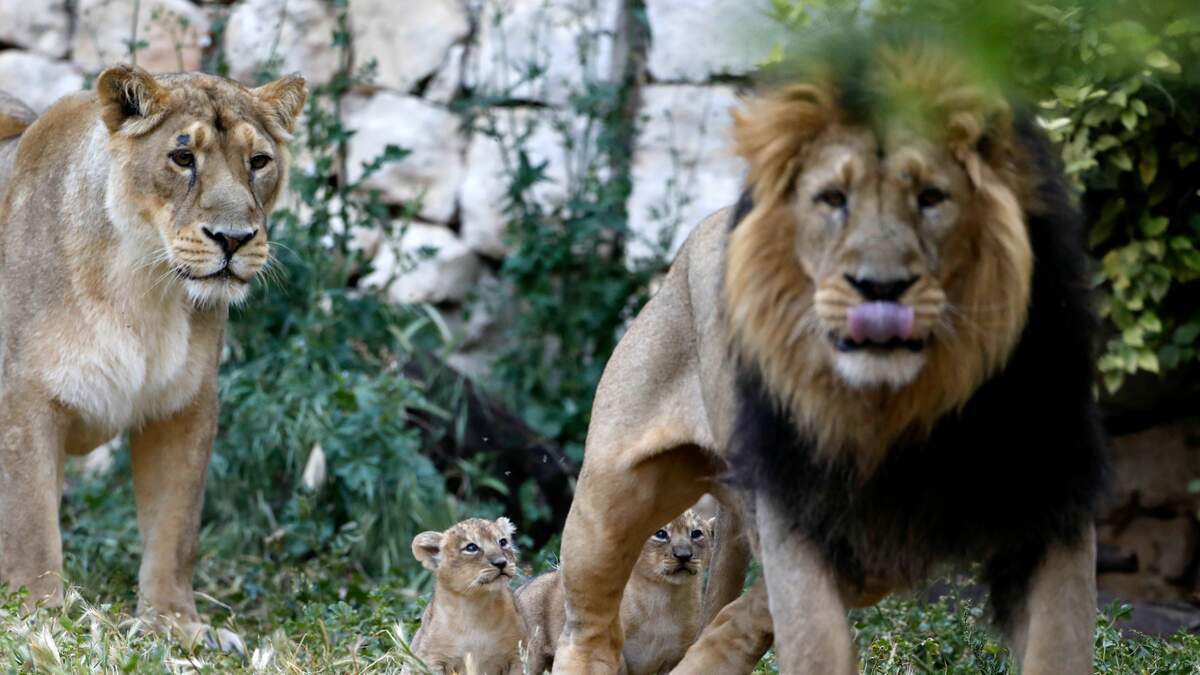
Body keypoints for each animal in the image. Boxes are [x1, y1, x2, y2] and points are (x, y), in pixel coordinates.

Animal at [0, 65, 305, 647]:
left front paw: (175, 625)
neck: (144, 283)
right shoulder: (23, 400)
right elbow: (30, 524)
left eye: (259, 162)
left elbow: (174, 529)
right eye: (182, 157)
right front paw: (36, 618)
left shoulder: (184, 407)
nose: (233, 239)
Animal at [406, 517, 527, 675]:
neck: (476, 604)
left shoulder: (517, 655)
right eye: (471, 548)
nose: (501, 562)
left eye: (503, 542)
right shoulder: (432, 658)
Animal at [519, 509, 716, 675]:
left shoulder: (677, 655)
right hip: (531, 657)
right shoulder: (612, 647)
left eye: (696, 533)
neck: (664, 596)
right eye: (660, 534)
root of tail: (520, 588)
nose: (684, 556)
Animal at [550, 45, 1107, 675]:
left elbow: (1061, 641)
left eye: (932, 198)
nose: (879, 287)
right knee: (591, 625)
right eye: (832, 202)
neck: (909, 406)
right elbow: (814, 642)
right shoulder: (800, 513)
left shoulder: (1052, 504)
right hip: (610, 497)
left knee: (737, 616)